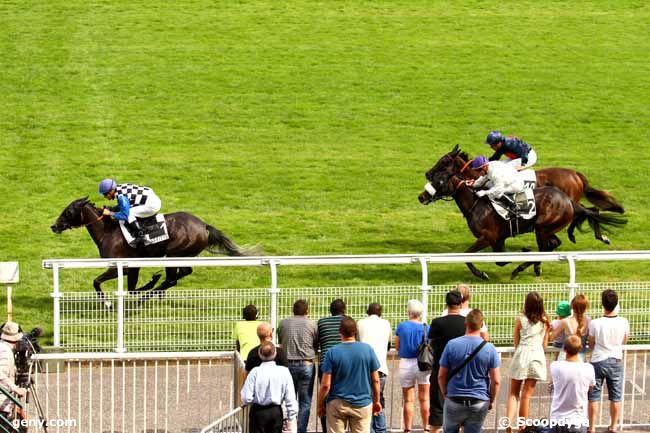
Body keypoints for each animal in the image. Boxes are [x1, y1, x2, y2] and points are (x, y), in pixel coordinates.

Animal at [50, 197, 260, 306]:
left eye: (68, 211)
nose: (54, 226)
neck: (108, 230)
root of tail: (204, 226)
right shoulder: (133, 267)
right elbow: (131, 288)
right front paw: (149, 283)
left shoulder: (121, 267)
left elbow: (97, 282)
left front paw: (108, 304)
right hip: (182, 256)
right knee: (182, 274)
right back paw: (154, 292)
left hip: (174, 255)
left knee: (172, 279)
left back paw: (147, 296)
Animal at [416, 146, 624, 280]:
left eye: (444, 163)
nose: (422, 195)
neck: (476, 203)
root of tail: (575, 175)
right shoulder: (498, 239)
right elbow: (501, 260)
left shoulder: (488, 236)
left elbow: (469, 256)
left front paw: (483, 274)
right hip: (547, 227)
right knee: (562, 235)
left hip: (542, 227)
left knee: (555, 239)